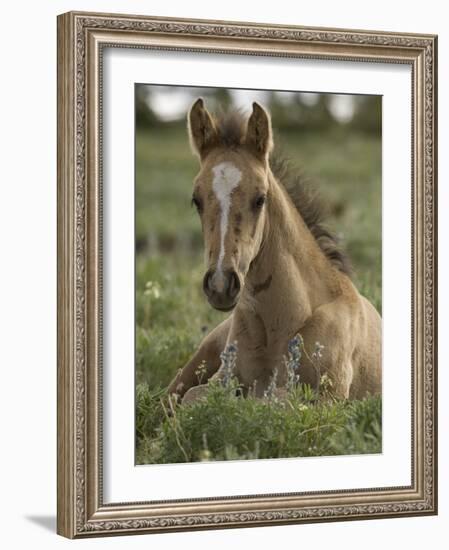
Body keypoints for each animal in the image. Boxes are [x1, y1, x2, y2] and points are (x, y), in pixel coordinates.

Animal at [168, 98, 382, 402]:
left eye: (260, 198)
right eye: (196, 200)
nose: (220, 285)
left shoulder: (329, 398)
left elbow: (272, 400)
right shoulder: (221, 379)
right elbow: (193, 398)